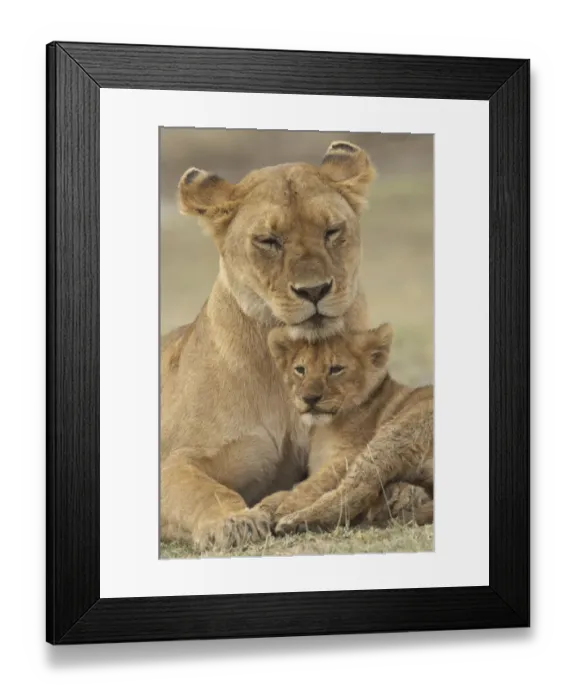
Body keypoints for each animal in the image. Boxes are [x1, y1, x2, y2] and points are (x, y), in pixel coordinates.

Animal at [160, 141, 377, 548]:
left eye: (331, 231)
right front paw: (232, 522)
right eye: (269, 241)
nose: (314, 290)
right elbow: (203, 489)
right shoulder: (177, 458)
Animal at [251, 322, 434, 533]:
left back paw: (292, 521)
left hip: (393, 435)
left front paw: (283, 508)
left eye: (336, 369)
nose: (309, 398)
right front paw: (259, 509)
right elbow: (285, 491)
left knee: (357, 490)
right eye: (300, 370)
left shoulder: (348, 454)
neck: (324, 427)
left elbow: (312, 485)